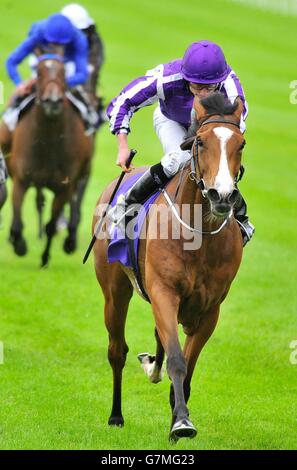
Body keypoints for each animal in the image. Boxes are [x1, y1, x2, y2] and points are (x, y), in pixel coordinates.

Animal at [6, 55, 93, 266]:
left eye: (63, 74)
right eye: (38, 73)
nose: (52, 102)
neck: (48, 142)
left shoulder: (64, 187)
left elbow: (51, 226)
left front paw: (45, 258)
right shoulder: (22, 180)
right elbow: (17, 222)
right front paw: (19, 245)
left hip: (82, 172)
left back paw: (70, 240)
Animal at [93, 92, 245, 440]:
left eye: (241, 143)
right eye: (200, 142)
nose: (221, 195)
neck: (197, 234)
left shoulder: (210, 309)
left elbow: (187, 368)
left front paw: (178, 416)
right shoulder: (164, 292)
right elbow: (177, 359)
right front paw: (182, 423)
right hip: (114, 293)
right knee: (117, 350)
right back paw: (116, 415)